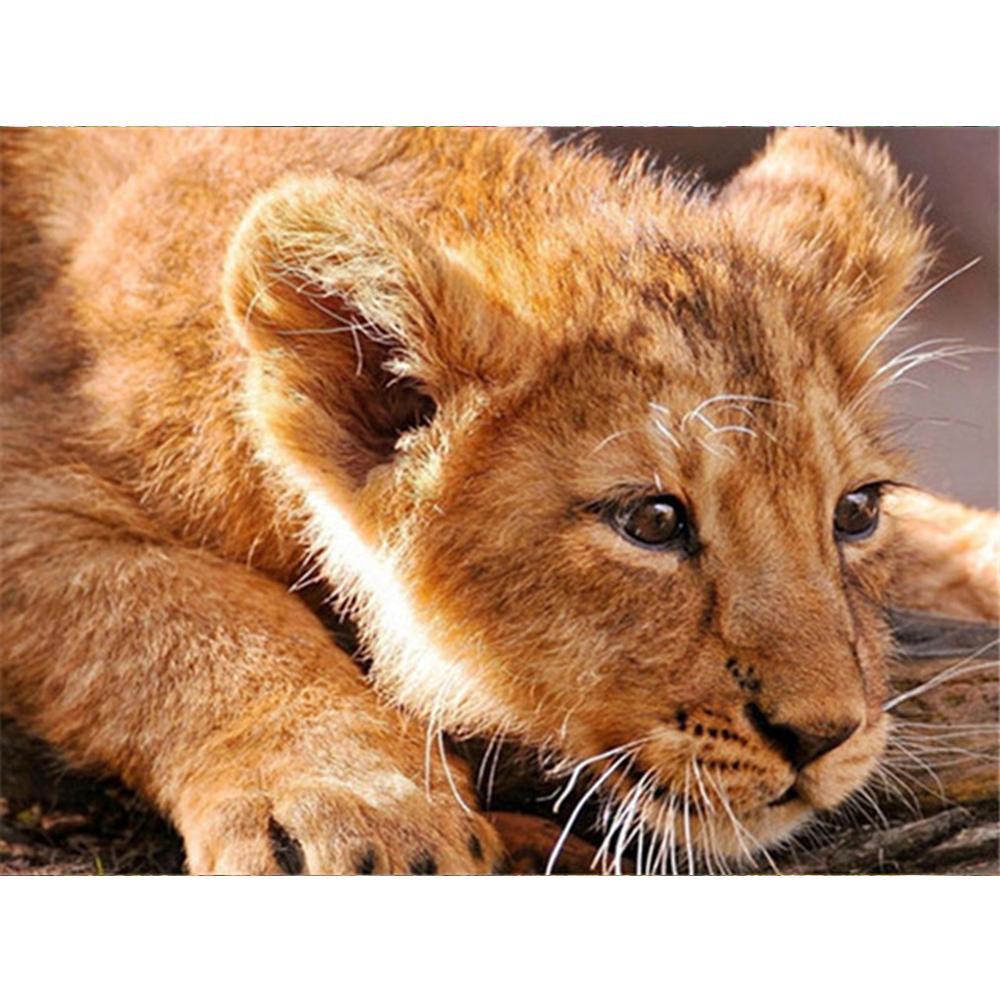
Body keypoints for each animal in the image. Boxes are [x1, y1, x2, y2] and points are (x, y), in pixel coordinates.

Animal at [1, 127, 996, 873]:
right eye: (653, 522)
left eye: (856, 512)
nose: (824, 738)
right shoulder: (35, 464)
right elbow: (185, 613)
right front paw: (351, 805)